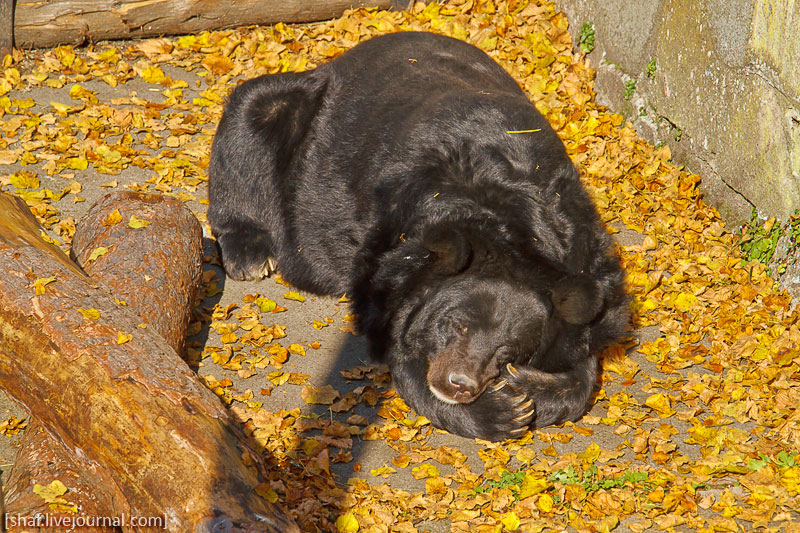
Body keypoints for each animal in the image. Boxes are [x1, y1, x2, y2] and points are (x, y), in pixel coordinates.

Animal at [208, 32, 632, 440]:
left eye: (508, 350)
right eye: (457, 325)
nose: (460, 384)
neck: (507, 230)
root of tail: (341, 59)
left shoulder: (583, 260)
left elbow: (584, 359)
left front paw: (529, 386)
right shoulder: (394, 247)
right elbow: (403, 355)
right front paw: (500, 413)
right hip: (289, 106)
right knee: (250, 112)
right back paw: (249, 252)